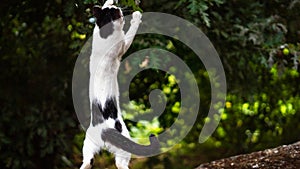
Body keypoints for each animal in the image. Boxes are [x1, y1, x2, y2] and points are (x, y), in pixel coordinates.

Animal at [79, 0, 159, 168]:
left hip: (88, 144)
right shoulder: (122, 45)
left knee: (87, 162)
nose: (118, 7)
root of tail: (104, 131)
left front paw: (107, 2)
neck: (105, 32)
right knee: (121, 164)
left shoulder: (96, 33)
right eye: (117, 11)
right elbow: (131, 32)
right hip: (124, 145)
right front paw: (136, 17)